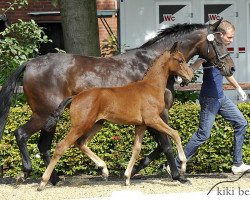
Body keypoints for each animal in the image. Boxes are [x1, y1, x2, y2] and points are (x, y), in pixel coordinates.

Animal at [37, 42, 193, 191]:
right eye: (180, 60)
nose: (190, 76)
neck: (151, 87)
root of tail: (75, 97)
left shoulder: (141, 125)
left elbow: (136, 149)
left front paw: (127, 178)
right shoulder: (153, 119)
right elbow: (175, 134)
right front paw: (183, 166)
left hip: (97, 124)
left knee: (81, 143)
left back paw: (104, 170)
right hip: (81, 125)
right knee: (61, 146)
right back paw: (43, 182)